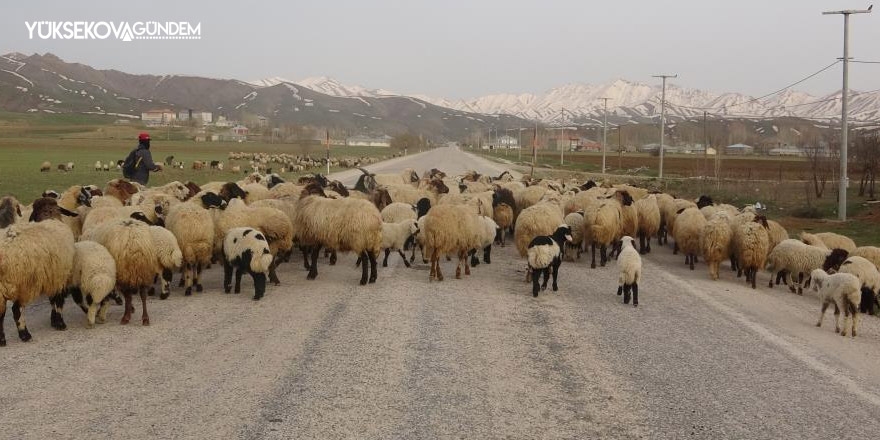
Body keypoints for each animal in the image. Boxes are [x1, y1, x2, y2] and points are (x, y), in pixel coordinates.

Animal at [0, 198, 76, 346]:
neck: (50, 217)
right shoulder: (60, 276)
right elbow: (58, 301)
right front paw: (60, 323)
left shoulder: (51, 277)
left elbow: (53, 301)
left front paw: (54, 321)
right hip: (22, 284)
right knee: (16, 310)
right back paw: (25, 335)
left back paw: (1, 340)